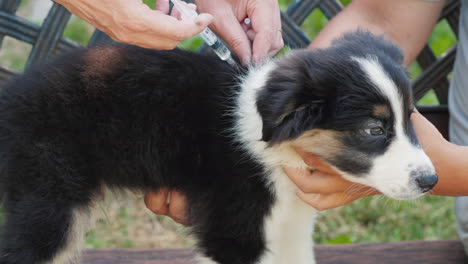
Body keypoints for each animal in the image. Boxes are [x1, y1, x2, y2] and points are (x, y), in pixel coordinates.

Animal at [0, 31, 438, 264]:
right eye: (373, 129)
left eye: (410, 119)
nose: (431, 181)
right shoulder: (234, 229)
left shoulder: (292, 222)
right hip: (50, 198)